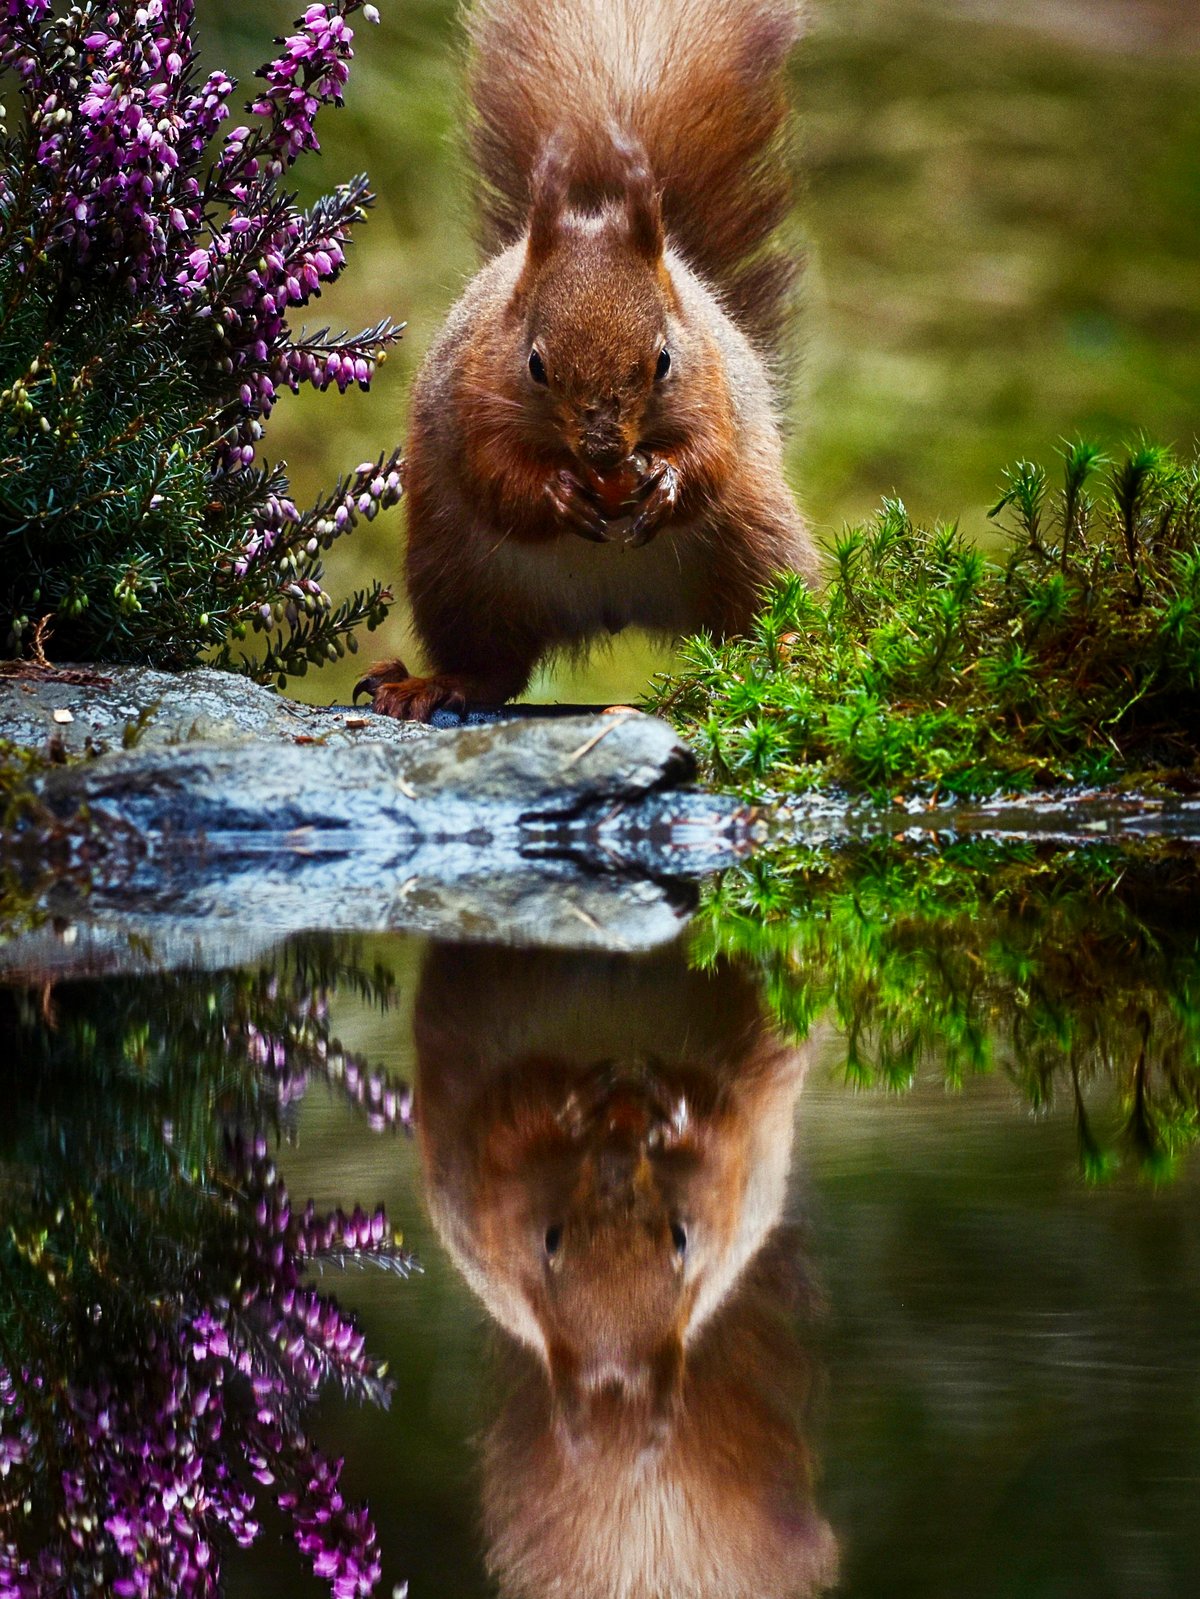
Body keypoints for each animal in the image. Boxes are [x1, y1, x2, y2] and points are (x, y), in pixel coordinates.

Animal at [358, 0, 817, 721]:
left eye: (664, 360)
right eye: (535, 365)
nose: (603, 452)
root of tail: (616, 607)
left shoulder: (712, 387)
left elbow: (710, 457)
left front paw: (667, 482)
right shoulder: (468, 398)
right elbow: (494, 476)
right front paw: (554, 494)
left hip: (756, 544)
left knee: (754, 622)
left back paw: (790, 649)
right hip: (457, 577)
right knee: (494, 669)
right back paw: (432, 684)